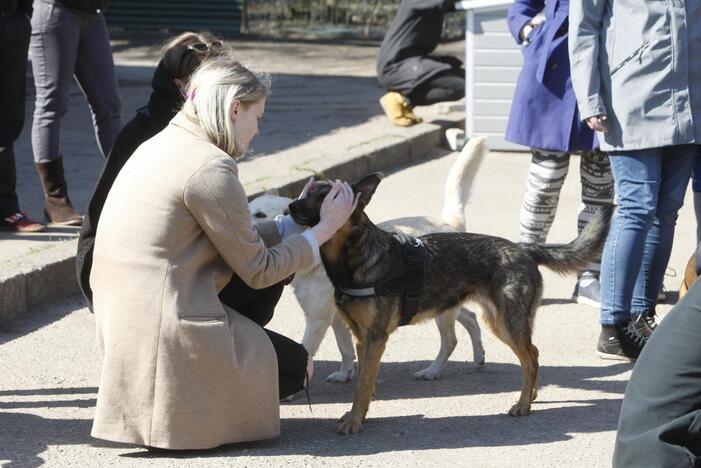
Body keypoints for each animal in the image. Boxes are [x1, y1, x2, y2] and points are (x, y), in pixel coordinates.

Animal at [252, 136, 486, 384]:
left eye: (260, 214)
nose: (291, 208)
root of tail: (450, 223)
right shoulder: (338, 319)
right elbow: (345, 348)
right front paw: (345, 373)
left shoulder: (318, 320)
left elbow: (307, 351)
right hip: (439, 304)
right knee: (471, 317)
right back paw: (478, 357)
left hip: (440, 310)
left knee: (451, 339)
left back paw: (433, 370)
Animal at [288, 174, 608, 434]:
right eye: (309, 192)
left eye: (327, 198)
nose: (290, 207)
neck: (353, 257)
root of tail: (524, 249)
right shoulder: (360, 336)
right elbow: (363, 379)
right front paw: (360, 411)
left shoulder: (375, 337)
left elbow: (363, 384)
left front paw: (355, 420)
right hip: (494, 320)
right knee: (531, 354)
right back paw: (530, 396)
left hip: (507, 323)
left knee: (530, 358)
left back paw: (523, 404)